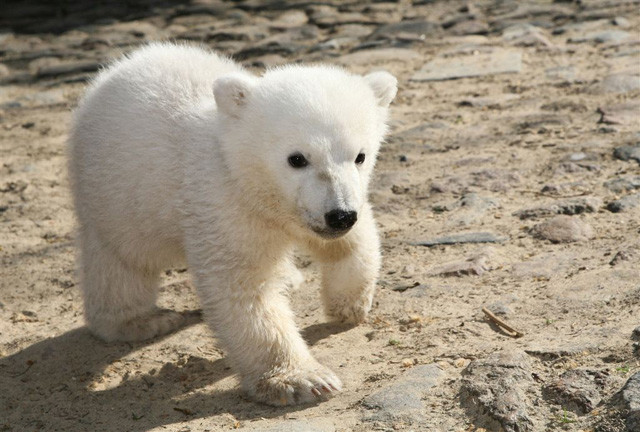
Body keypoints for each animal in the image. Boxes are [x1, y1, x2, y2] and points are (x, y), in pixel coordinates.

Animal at [68, 42, 397, 406]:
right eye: (296, 158)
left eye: (360, 156)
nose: (339, 215)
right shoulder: (223, 202)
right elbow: (244, 287)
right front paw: (303, 380)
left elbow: (352, 242)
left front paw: (349, 304)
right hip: (116, 197)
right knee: (122, 261)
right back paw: (141, 321)